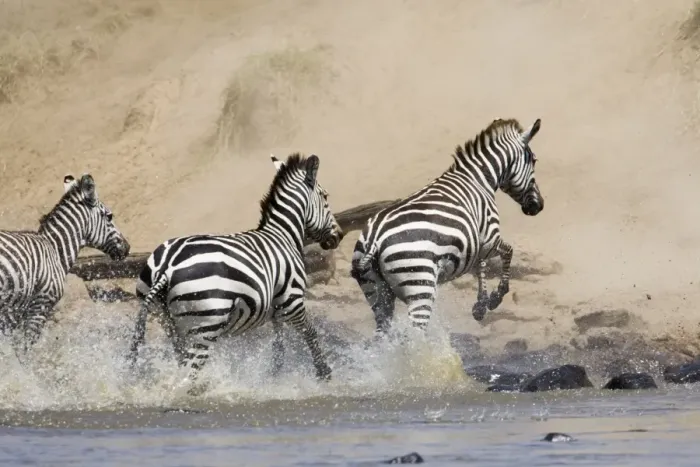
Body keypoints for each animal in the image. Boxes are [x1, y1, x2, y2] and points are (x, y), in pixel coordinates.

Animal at [0, 174, 130, 352]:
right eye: (109, 216)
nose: (127, 248)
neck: (55, 250)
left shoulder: (12, 316)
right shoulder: (39, 306)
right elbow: (25, 350)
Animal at [129, 153, 344, 387]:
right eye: (325, 197)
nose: (339, 236)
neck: (282, 235)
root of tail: (167, 265)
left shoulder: (276, 306)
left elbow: (278, 342)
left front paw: (275, 374)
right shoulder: (292, 300)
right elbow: (310, 333)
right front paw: (324, 373)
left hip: (169, 322)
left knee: (182, 360)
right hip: (207, 323)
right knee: (189, 374)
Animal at [351, 118, 544, 335]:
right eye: (534, 160)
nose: (538, 206)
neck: (479, 179)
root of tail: (374, 238)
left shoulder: (476, 243)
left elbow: (481, 266)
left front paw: (480, 306)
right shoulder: (489, 237)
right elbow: (508, 252)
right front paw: (496, 298)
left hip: (376, 294)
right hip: (420, 284)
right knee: (416, 333)